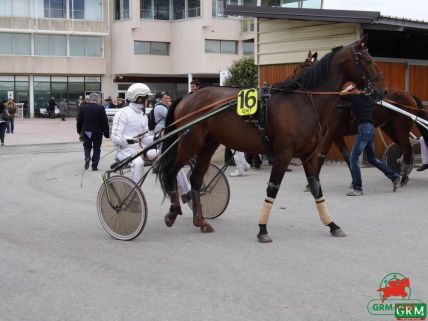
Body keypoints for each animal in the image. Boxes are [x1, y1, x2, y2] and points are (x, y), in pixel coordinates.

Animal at [155, 36, 386, 241]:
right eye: (368, 61)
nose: (382, 90)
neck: (302, 102)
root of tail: (187, 97)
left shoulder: (308, 155)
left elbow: (316, 188)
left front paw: (332, 224)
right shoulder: (283, 154)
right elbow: (273, 188)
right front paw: (262, 229)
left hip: (208, 144)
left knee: (195, 178)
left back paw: (200, 221)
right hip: (189, 142)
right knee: (171, 170)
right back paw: (173, 212)